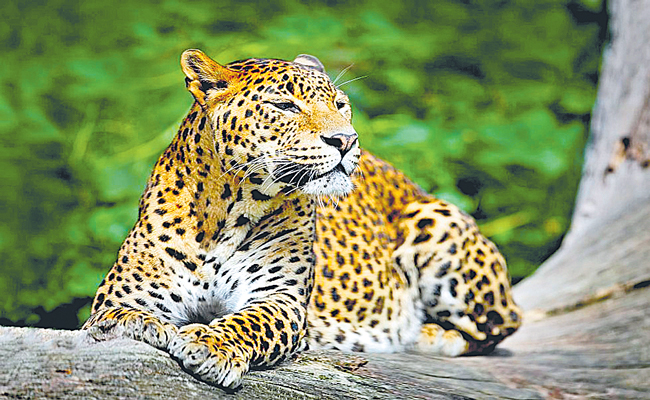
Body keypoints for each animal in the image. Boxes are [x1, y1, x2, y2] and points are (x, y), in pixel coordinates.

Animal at [83, 49, 522, 389]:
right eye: (285, 106)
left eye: (341, 105)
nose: (346, 140)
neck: (228, 211)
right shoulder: (122, 294)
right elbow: (115, 316)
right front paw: (141, 325)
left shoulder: (281, 299)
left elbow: (248, 323)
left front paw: (210, 346)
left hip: (435, 220)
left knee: (501, 324)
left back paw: (426, 333)